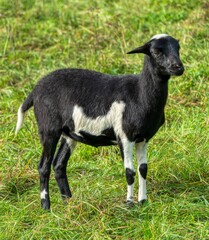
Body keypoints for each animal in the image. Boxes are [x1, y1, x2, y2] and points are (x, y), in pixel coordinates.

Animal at [15, 33, 185, 210]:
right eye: (157, 52)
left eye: (178, 48)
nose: (178, 67)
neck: (139, 93)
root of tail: (35, 90)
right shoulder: (124, 137)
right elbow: (129, 172)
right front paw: (129, 203)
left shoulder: (143, 138)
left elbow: (143, 169)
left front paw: (143, 201)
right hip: (48, 128)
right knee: (44, 166)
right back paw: (46, 207)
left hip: (69, 133)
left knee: (59, 164)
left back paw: (69, 202)